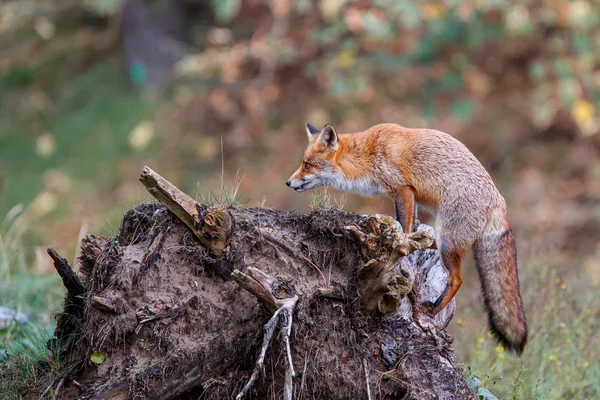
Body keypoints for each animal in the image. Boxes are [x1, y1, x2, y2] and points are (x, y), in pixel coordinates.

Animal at [286, 122, 524, 354]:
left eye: (307, 165)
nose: (288, 182)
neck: (367, 155)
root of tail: (499, 203)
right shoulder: (411, 197)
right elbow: (413, 222)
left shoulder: (402, 189)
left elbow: (404, 225)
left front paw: (401, 244)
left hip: (447, 240)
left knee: (457, 279)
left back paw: (434, 308)